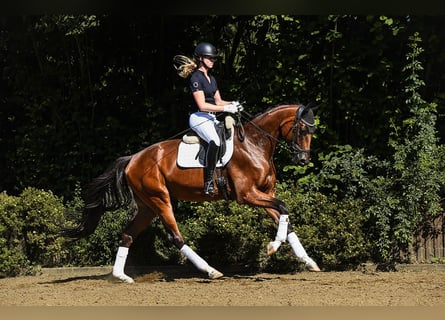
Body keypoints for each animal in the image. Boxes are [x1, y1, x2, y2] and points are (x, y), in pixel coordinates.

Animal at [62, 104, 320, 282]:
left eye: (312, 130)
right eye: (302, 129)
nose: (303, 159)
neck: (256, 144)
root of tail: (133, 158)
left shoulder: (264, 193)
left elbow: (285, 219)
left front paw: (308, 261)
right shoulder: (247, 195)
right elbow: (284, 208)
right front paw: (272, 246)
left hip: (147, 206)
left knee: (127, 234)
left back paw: (121, 277)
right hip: (160, 199)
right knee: (175, 237)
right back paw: (211, 271)